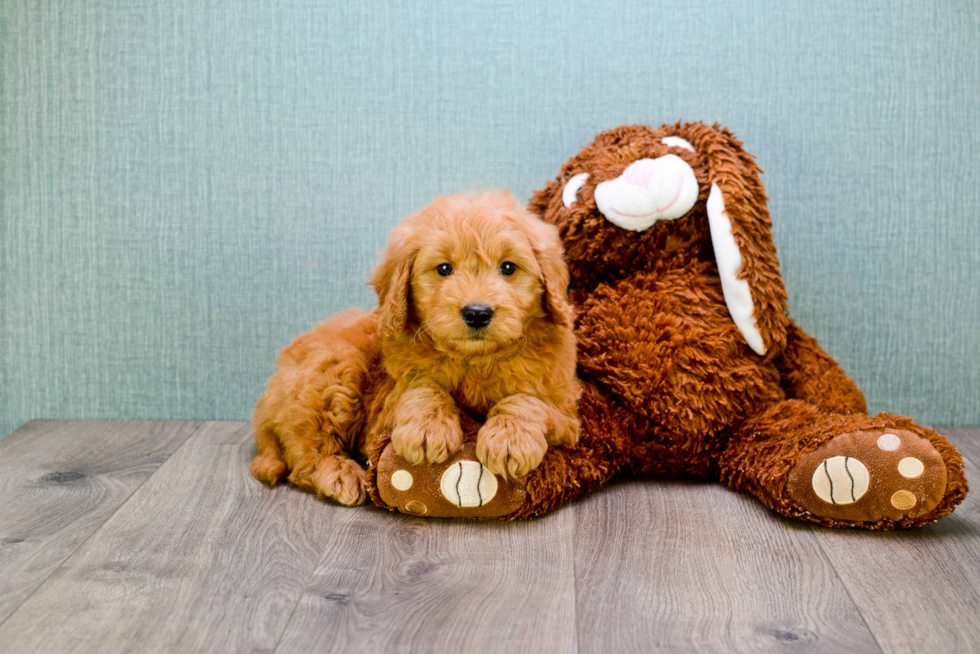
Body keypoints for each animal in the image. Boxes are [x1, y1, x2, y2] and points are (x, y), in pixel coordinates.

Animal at [249, 190, 580, 508]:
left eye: (509, 267)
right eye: (444, 268)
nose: (477, 313)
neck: (473, 361)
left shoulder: (566, 412)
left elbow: (529, 400)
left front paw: (509, 439)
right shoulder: (385, 409)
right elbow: (422, 387)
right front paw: (428, 429)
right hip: (336, 371)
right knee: (306, 456)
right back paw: (340, 475)